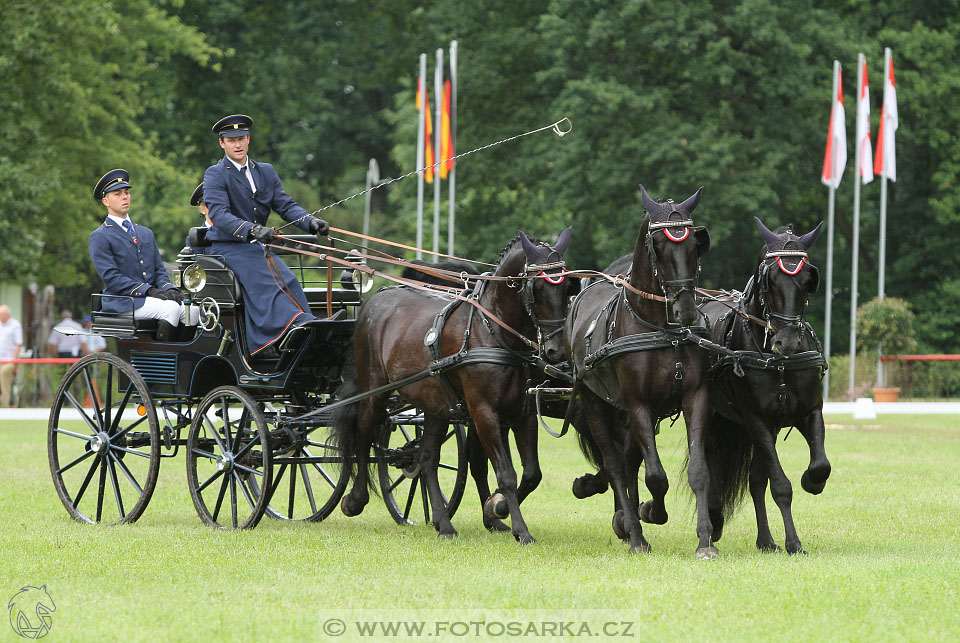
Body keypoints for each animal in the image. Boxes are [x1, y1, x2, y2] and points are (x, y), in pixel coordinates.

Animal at [332, 229, 568, 540]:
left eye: (567, 286)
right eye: (535, 288)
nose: (556, 351)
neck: (493, 332)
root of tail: (375, 299)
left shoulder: (523, 412)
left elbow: (531, 473)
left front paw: (496, 508)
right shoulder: (484, 412)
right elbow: (505, 473)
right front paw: (519, 528)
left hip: (436, 405)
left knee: (426, 458)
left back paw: (443, 523)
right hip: (374, 392)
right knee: (363, 437)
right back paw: (356, 500)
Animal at [568, 186, 716, 560]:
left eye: (695, 245)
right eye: (657, 246)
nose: (685, 309)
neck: (662, 329)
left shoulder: (696, 397)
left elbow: (698, 471)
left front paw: (705, 541)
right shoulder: (638, 405)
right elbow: (655, 477)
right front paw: (649, 513)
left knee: (627, 462)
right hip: (596, 404)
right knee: (616, 467)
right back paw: (634, 533)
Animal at [696, 219, 832, 556]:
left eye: (808, 279)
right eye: (770, 280)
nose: (787, 341)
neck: (778, 362)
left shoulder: (809, 412)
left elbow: (820, 464)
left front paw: (812, 481)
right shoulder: (756, 419)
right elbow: (781, 485)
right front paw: (794, 542)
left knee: (755, 480)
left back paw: (766, 540)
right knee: (710, 458)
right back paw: (715, 519)